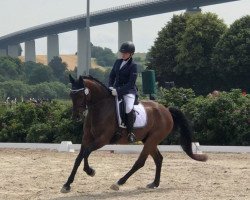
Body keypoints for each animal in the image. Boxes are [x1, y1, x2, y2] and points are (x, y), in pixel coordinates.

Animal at [61, 74, 208, 192]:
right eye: (71, 95)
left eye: (81, 94)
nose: (76, 117)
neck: (99, 107)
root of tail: (166, 110)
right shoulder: (86, 138)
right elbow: (79, 157)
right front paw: (67, 185)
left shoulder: (102, 139)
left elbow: (86, 153)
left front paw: (90, 171)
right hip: (148, 140)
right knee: (158, 159)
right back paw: (154, 184)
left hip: (153, 139)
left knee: (140, 162)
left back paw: (119, 182)